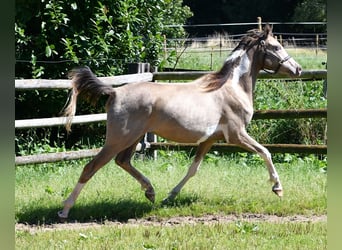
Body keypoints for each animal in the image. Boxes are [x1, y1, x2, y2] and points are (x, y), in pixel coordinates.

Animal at [58, 23, 302, 219]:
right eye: (276, 47)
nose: (297, 69)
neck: (231, 87)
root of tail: (114, 92)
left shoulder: (209, 139)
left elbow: (193, 169)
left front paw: (170, 197)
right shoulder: (236, 134)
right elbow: (266, 152)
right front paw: (278, 188)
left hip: (133, 138)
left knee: (123, 161)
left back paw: (151, 191)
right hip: (118, 139)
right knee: (91, 167)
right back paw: (65, 210)